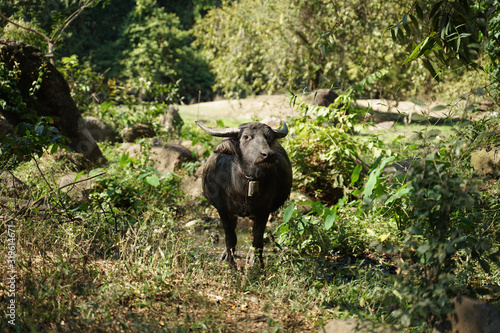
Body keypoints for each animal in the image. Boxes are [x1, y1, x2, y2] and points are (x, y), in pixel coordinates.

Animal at [195, 120, 292, 264]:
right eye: (246, 137)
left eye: (268, 137)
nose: (268, 155)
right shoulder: (223, 209)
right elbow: (230, 237)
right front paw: (228, 258)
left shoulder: (264, 210)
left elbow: (257, 237)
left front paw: (255, 260)